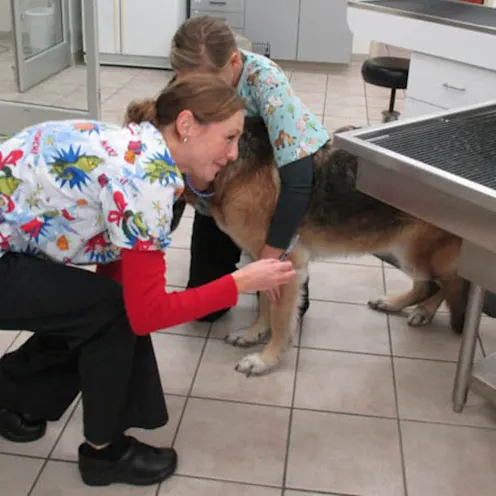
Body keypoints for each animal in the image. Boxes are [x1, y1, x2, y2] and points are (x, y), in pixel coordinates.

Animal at [180, 117, 466, 376]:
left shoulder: (286, 263)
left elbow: (279, 318)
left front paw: (265, 359)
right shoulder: (264, 260)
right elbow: (264, 303)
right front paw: (253, 333)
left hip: (415, 250)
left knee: (446, 282)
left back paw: (423, 310)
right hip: (403, 247)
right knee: (431, 284)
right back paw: (398, 304)